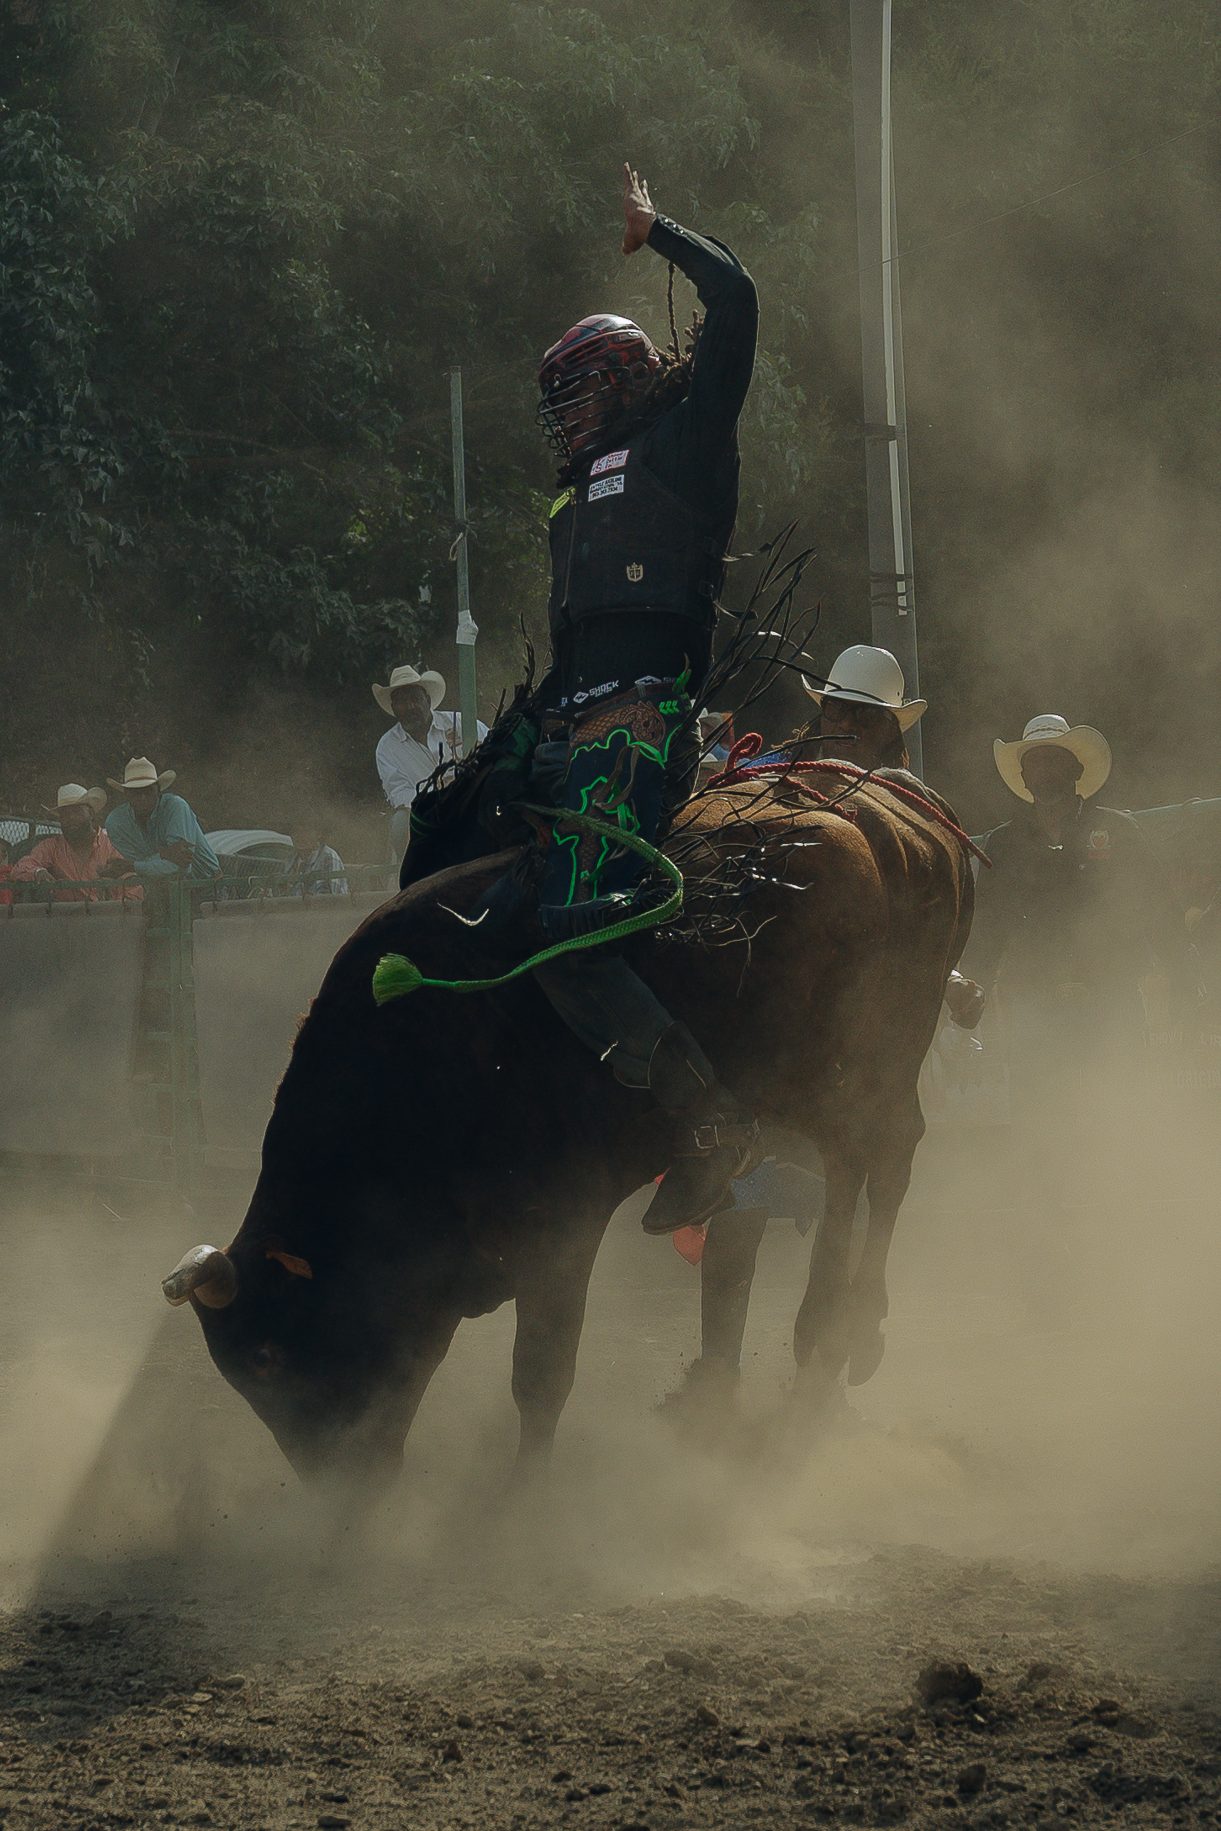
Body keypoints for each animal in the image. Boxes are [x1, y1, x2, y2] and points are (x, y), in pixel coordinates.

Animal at [167, 765, 981, 1494]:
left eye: (269, 1355)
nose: (339, 1483)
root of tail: (894, 819)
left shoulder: (561, 1226)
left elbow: (541, 1371)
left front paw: (523, 1497)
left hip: (851, 1073)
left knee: (871, 1164)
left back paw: (835, 1329)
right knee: (861, 1169)